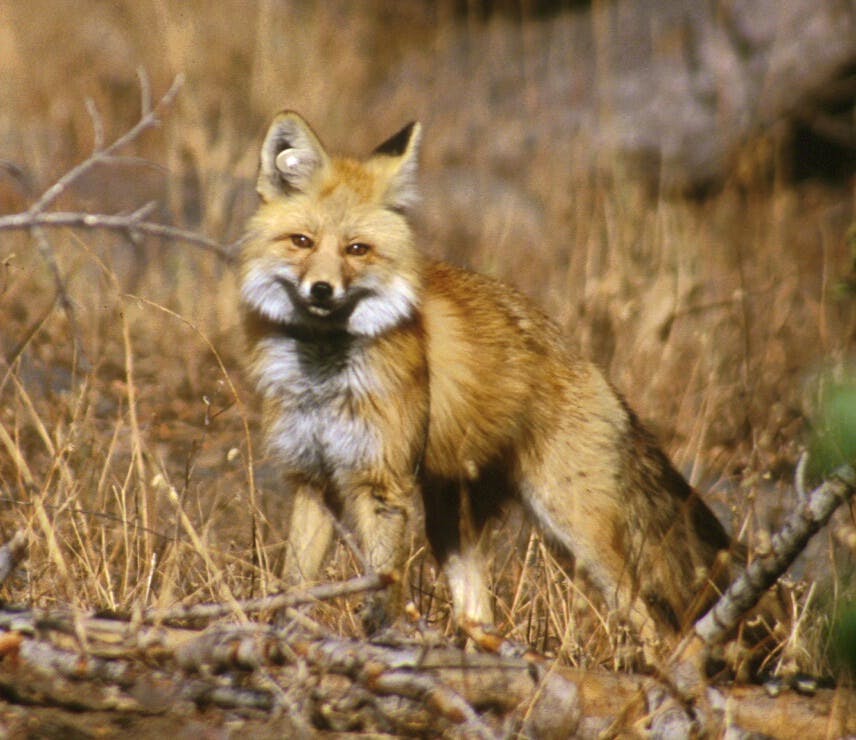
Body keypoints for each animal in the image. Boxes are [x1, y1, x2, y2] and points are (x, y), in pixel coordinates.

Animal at [239, 112, 733, 651]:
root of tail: (595, 370)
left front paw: (383, 643)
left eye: (357, 250)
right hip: (455, 525)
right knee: (480, 614)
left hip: (577, 534)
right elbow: (293, 585)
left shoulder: (382, 484)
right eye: (301, 242)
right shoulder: (312, 478)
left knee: (659, 623)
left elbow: (382, 589)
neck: (322, 375)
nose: (322, 290)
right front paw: (283, 638)